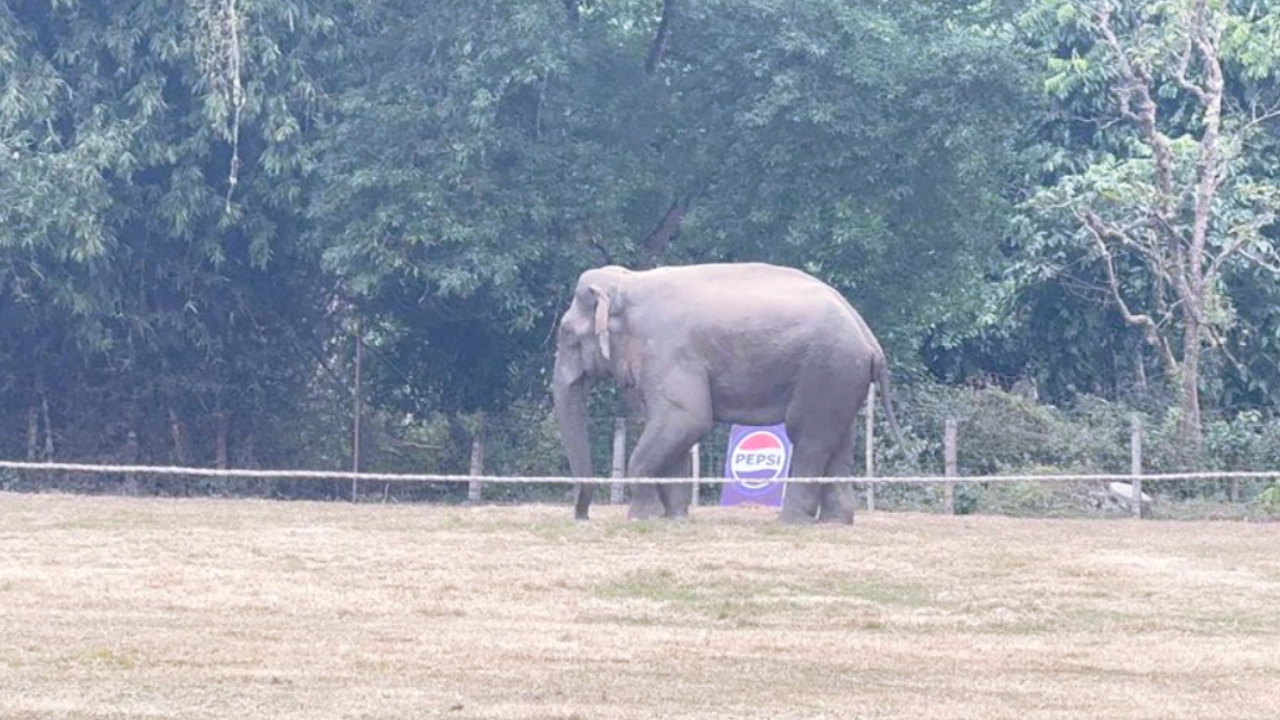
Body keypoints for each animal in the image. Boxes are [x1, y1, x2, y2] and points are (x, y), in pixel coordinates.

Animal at [551, 261, 901, 524]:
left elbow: (686, 418)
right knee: (840, 440)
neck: (629, 282)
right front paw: (674, 518)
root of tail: (868, 336)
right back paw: (835, 522)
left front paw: (641, 516)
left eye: (566, 334)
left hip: (825, 369)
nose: (582, 516)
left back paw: (790, 521)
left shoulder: (668, 352)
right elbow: (675, 429)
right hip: (842, 377)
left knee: (808, 437)